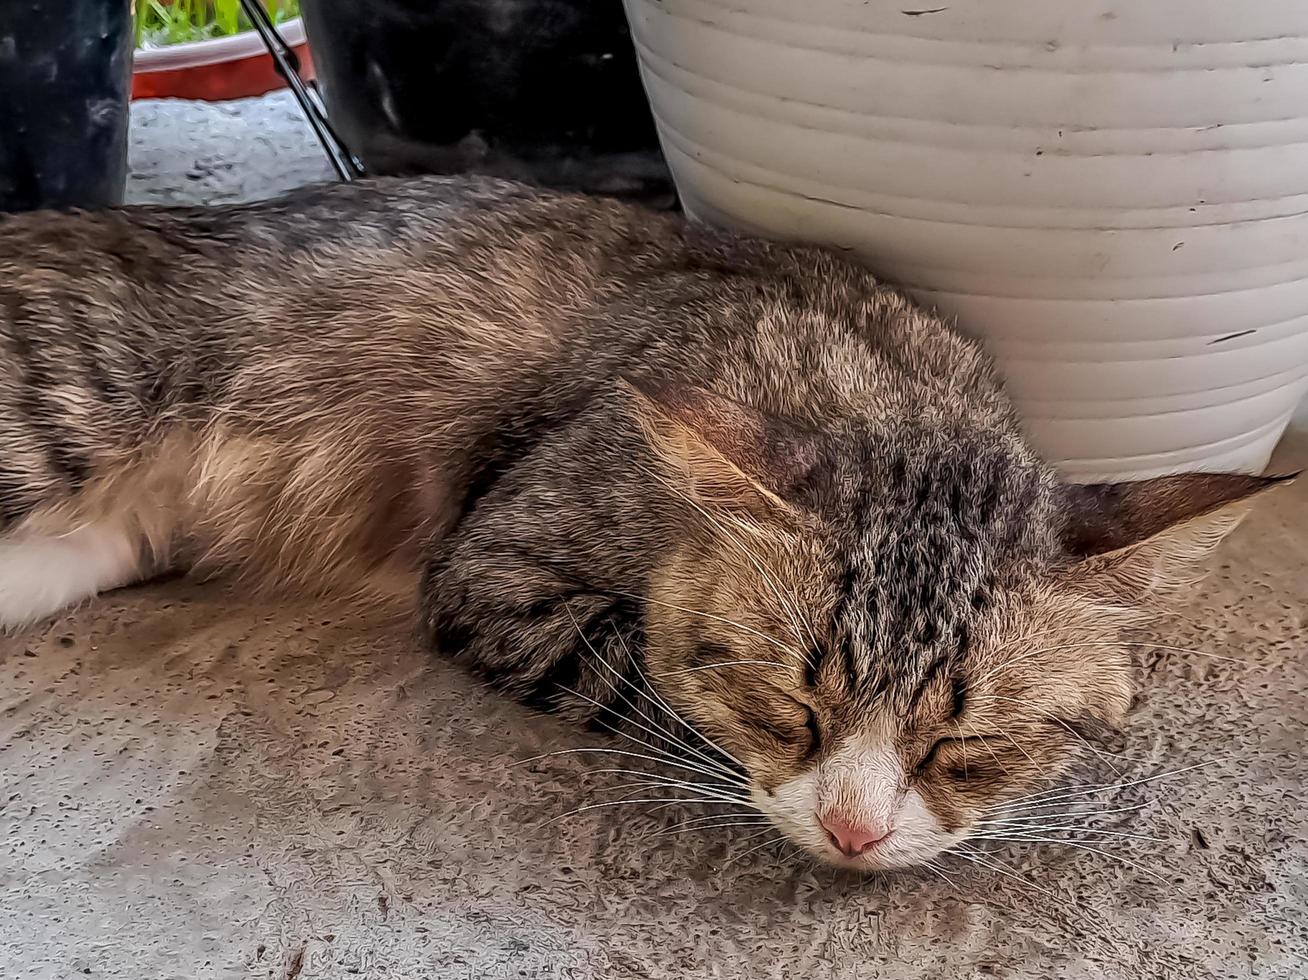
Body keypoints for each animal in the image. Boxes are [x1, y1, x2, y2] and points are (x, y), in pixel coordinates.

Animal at [0, 177, 1287, 874]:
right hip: (62, 404)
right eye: (791, 706)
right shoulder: (491, 567)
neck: (879, 381)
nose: (856, 834)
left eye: (963, 744)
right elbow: (638, 671)